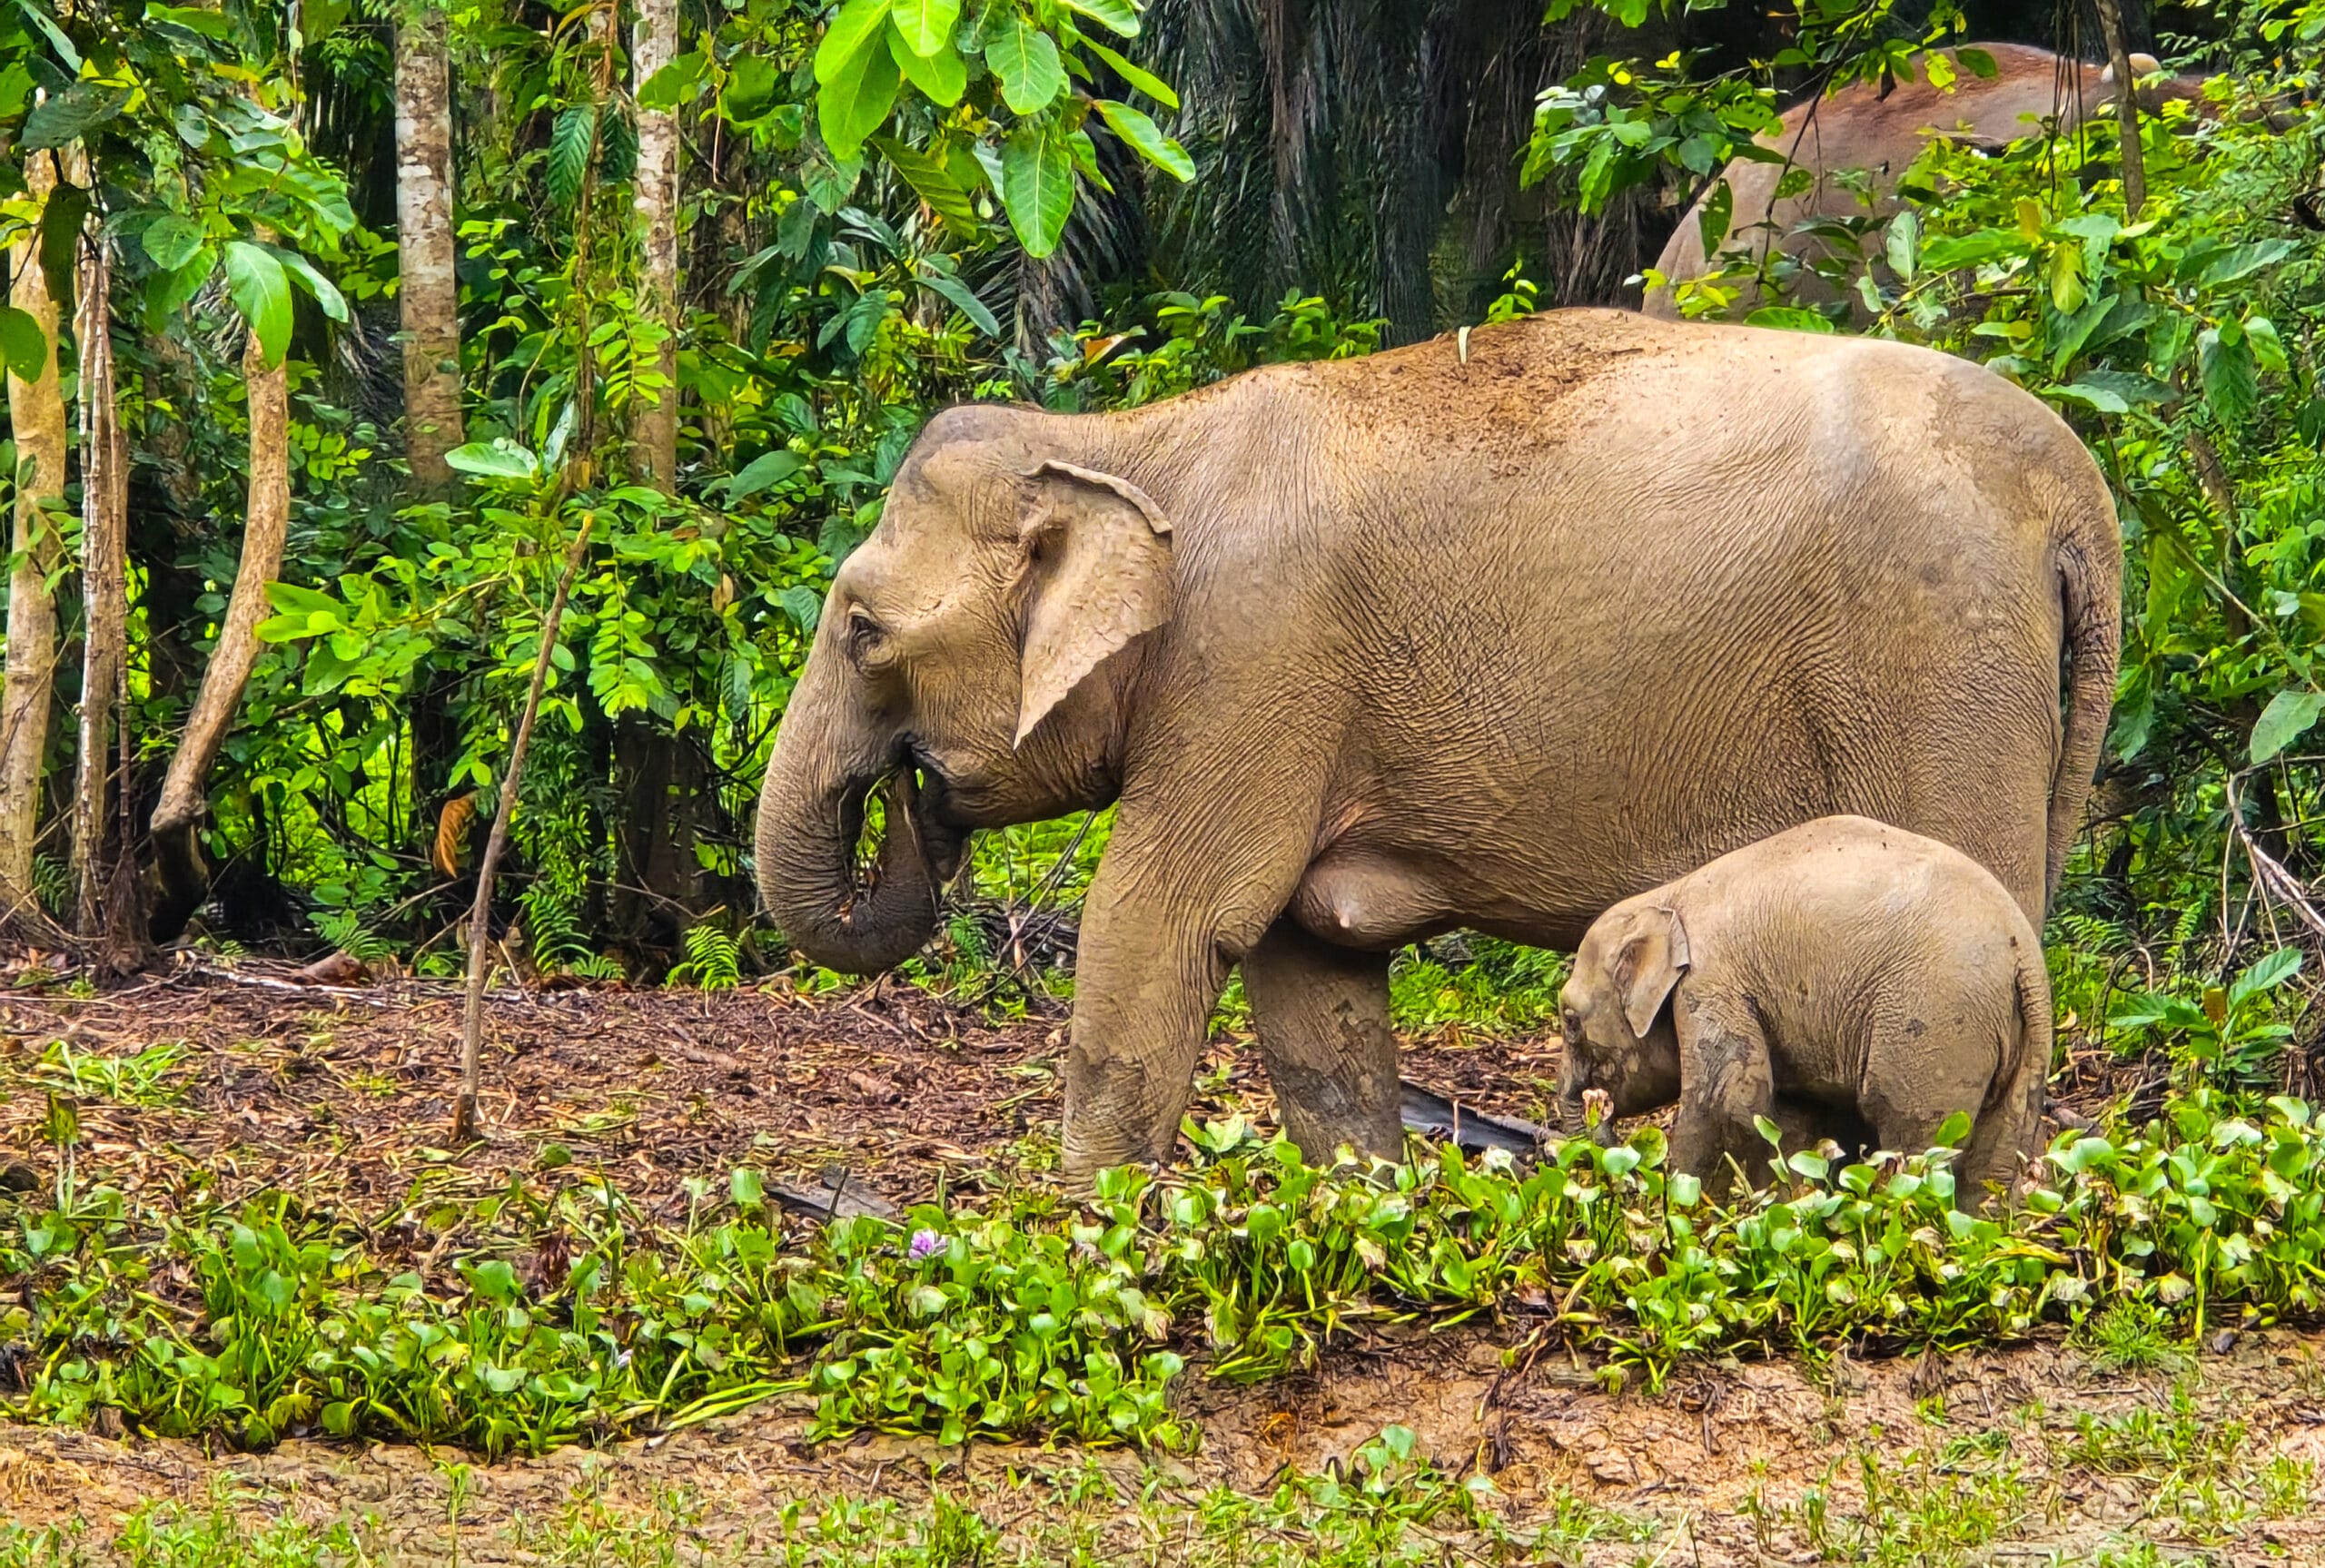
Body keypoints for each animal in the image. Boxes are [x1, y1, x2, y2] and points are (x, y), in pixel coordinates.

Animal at [1554, 815, 2054, 1198]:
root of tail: (2023, 952)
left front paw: (1684, 1207)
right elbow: (1791, 1118)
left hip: (1933, 1023)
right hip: (2018, 1043)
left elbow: (1728, 1099)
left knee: (1911, 1137)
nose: (1595, 1104)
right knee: (1992, 1162)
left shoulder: (1711, 981)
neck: (1667, 898)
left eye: (1570, 1020)